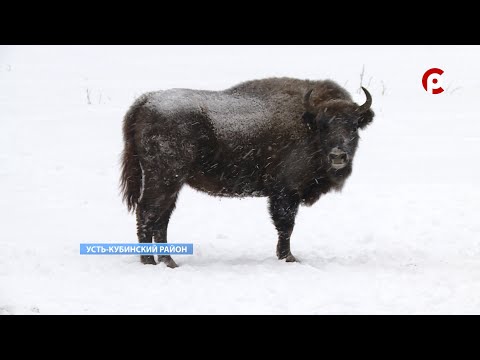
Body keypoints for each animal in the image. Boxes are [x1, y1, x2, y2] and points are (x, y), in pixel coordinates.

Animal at [120, 76, 376, 268]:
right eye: (324, 125)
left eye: (353, 126)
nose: (338, 156)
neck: (307, 124)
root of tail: (145, 102)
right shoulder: (286, 192)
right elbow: (286, 226)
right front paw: (289, 258)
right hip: (164, 179)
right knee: (147, 214)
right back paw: (151, 262)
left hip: (172, 184)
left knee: (161, 218)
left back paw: (168, 261)